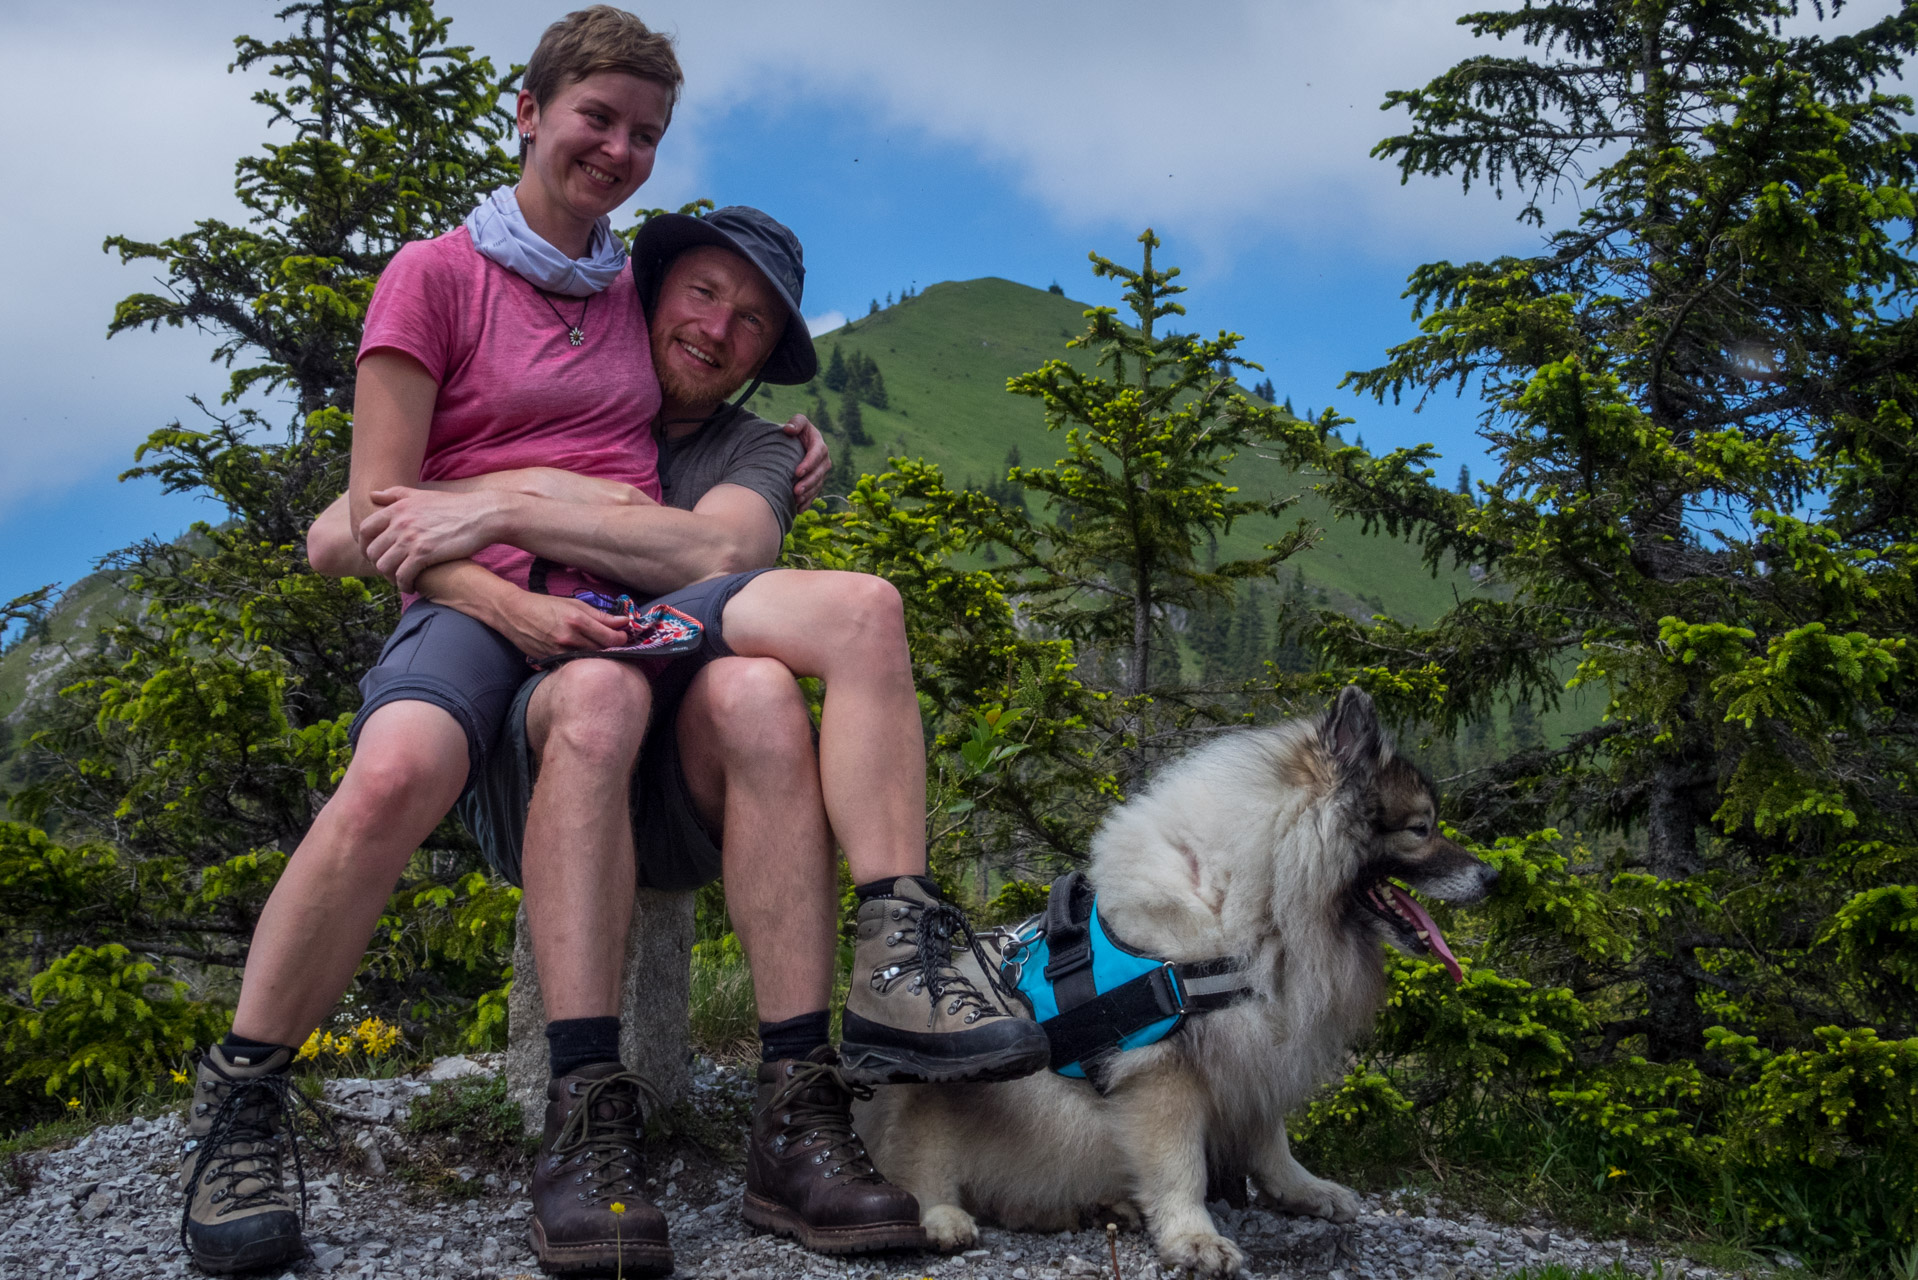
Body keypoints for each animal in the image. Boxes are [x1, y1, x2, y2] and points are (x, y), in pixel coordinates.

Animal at [859, 690, 1496, 1274]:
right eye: (1421, 828)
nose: (1492, 876)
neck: (1248, 902)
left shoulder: (1253, 1050)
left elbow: (1270, 1140)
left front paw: (1302, 1190)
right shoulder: (1164, 1072)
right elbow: (1179, 1167)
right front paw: (1194, 1237)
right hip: (933, 1098)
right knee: (916, 1170)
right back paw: (944, 1219)